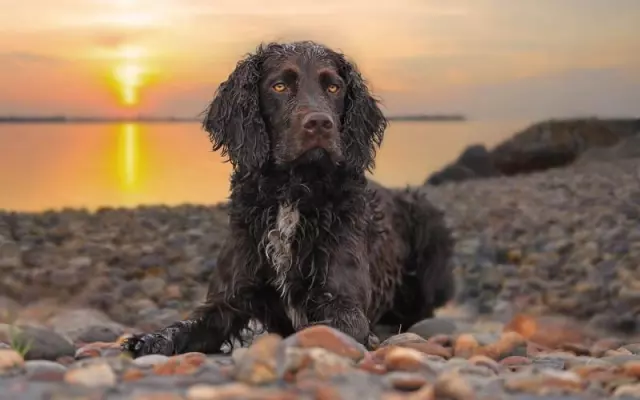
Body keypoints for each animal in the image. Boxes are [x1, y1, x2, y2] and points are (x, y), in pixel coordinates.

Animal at [122, 40, 456, 356]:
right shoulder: (229, 298)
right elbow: (188, 325)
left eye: (334, 87)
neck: (292, 193)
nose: (320, 123)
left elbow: (322, 328)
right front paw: (149, 340)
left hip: (427, 217)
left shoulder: (343, 302)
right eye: (279, 86)